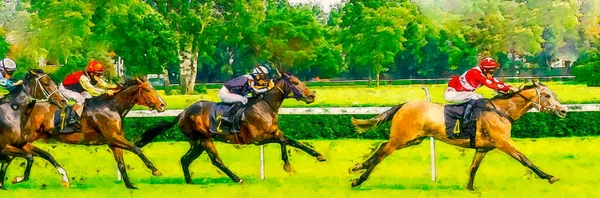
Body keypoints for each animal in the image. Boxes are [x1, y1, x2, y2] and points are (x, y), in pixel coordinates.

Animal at [12, 76, 166, 189]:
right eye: (147, 90)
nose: (162, 105)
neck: (111, 107)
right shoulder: (113, 137)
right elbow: (136, 149)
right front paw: (155, 170)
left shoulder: (113, 142)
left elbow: (121, 164)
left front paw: (130, 186)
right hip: (27, 136)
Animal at [134, 69, 326, 184]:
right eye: (295, 82)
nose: (311, 96)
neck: (265, 106)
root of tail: (182, 113)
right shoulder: (259, 139)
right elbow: (283, 142)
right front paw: (287, 165)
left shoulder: (275, 132)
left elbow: (295, 142)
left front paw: (319, 155)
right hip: (204, 138)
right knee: (216, 160)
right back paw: (237, 179)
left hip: (197, 142)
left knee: (185, 159)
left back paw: (190, 183)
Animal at [346, 81, 568, 190]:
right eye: (547, 95)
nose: (563, 110)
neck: (501, 111)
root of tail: (404, 104)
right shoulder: (503, 142)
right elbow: (526, 160)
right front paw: (550, 177)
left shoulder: (483, 148)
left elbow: (473, 168)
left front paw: (469, 189)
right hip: (402, 137)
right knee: (383, 152)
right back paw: (359, 180)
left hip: (412, 139)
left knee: (381, 147)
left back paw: (358, 166)